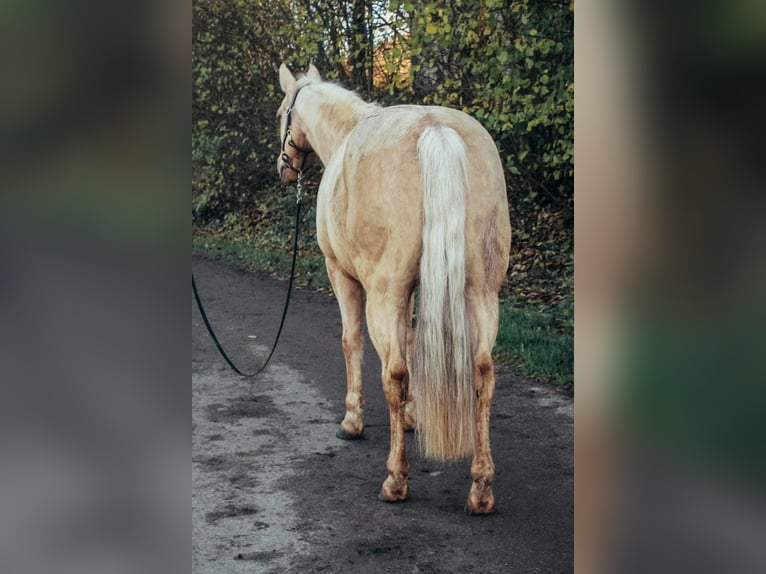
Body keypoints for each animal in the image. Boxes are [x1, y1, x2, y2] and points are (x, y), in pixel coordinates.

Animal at [276, 64, 510, 516]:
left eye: (282, 114)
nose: (284, 168)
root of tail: (435, 130)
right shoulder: (415, 290)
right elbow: (414, 337)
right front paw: (413, 416)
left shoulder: (341, 274)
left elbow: (351, 342)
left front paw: (352, 421)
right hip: (481, 294)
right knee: (483, 374)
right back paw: (481, 489)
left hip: (384, 295)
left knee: (395, 373)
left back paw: (395, 479)